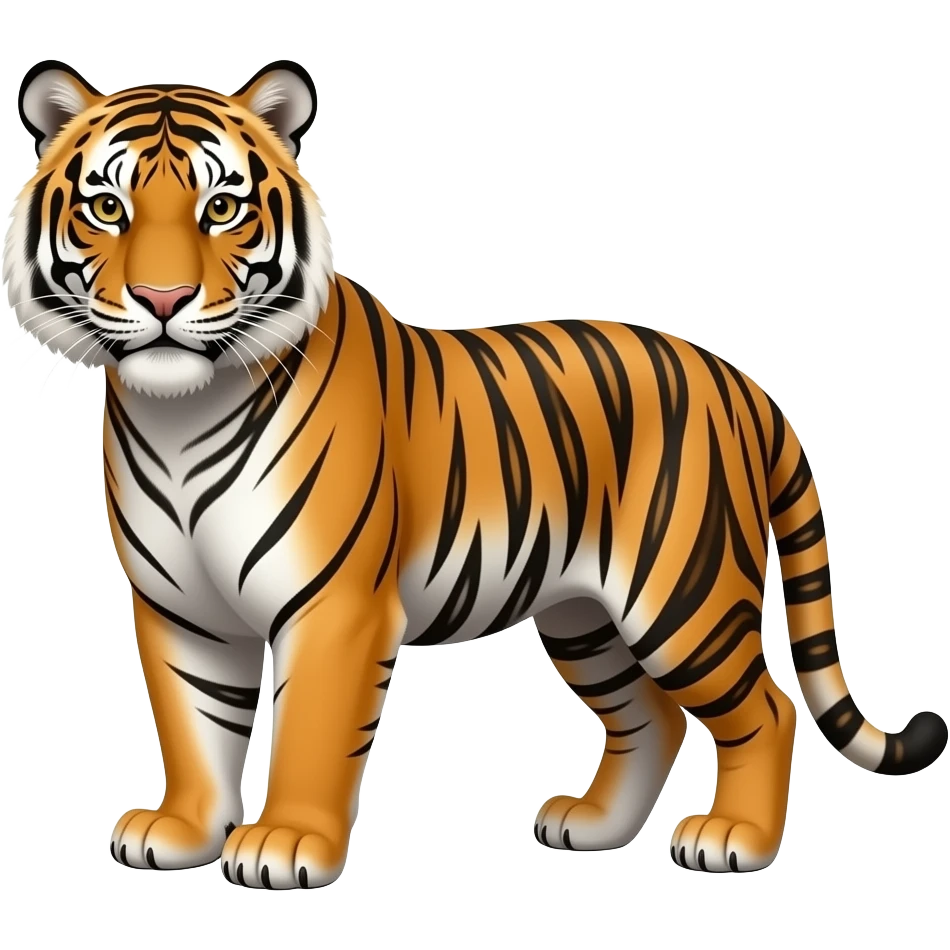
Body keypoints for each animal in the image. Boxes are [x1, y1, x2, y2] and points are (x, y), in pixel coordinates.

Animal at [5, 57, 947, 890]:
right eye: (107, 207)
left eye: (223, 207)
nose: (163, 302)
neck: (179, 414)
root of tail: (740, 381)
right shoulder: (179, 607)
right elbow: (193, 725)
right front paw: (183, 830)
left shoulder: (334, 606)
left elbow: (309, 728)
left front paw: (285, 845)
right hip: (584, 616)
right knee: (652, 717)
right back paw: (592, 825)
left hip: (684, 598)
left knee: (767, 710)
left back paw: (735, 840)